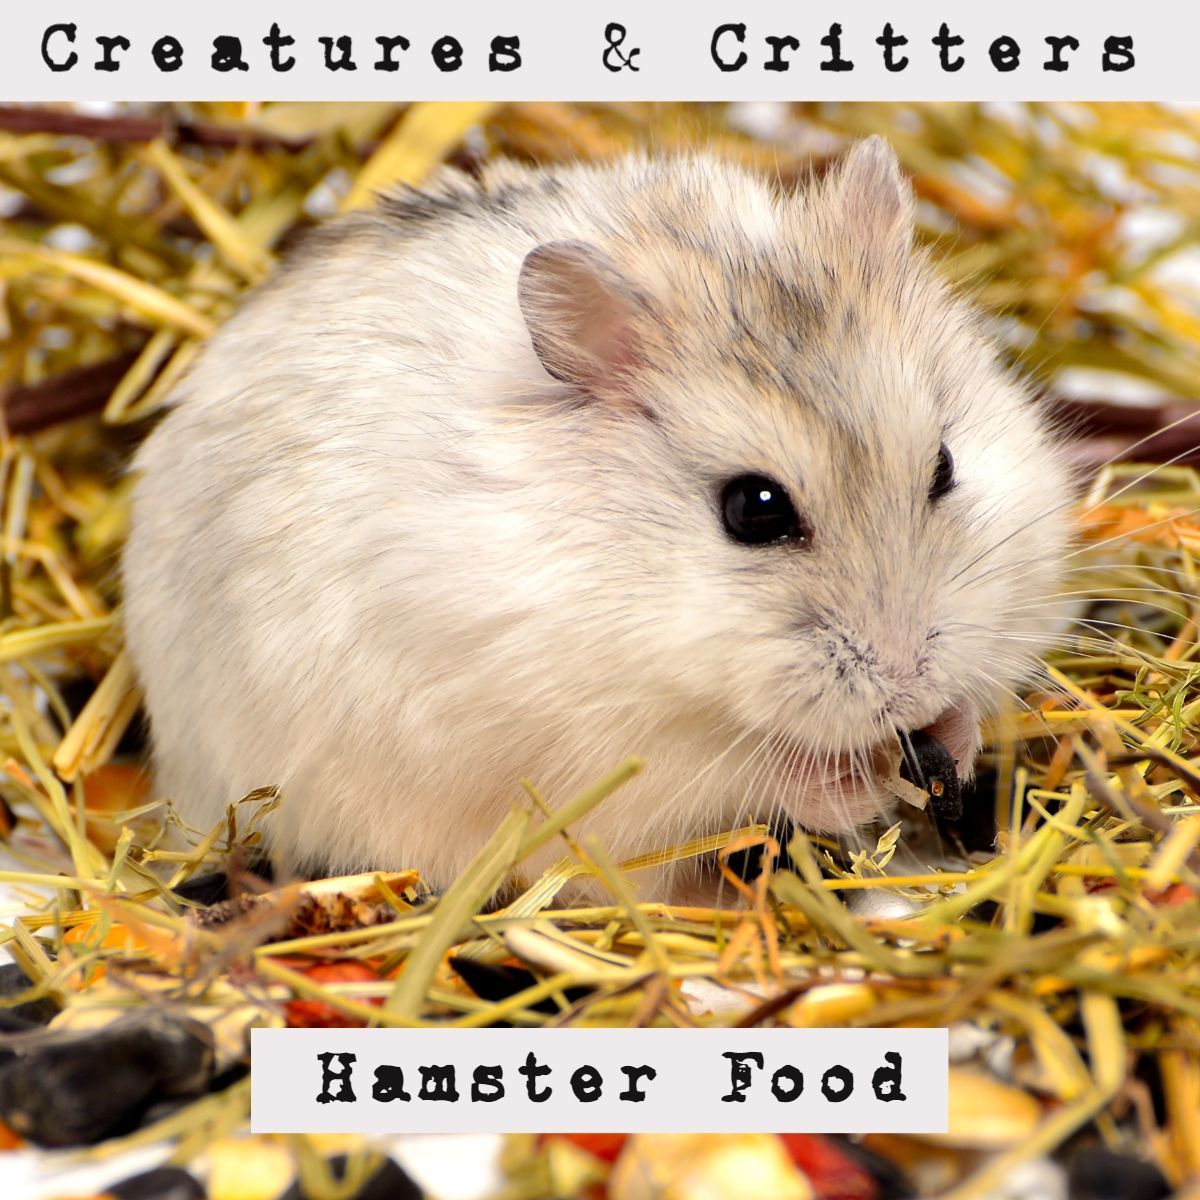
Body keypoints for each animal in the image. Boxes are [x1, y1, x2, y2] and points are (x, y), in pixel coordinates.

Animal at [121, 138, 1074, 899]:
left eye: (944, 467)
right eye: (753, 510)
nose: (911, 686)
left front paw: (953, 733)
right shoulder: (599, 746)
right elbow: (743, 775)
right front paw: (862, 788)